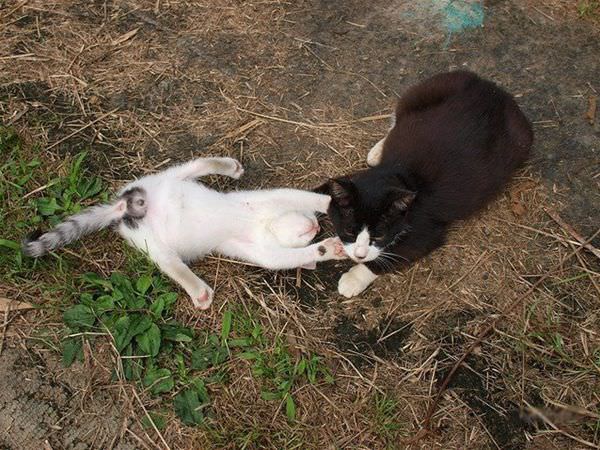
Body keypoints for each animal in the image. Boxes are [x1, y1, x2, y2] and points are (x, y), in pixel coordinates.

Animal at [23, 156, 346, 308]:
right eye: (309, 231)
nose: (315, 226)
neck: (265, 222)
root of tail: (126, 206)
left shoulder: (252, 245)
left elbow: (281, 256)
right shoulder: (262, 205)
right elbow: (296, 199)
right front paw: (330, 215)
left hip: (159, 187)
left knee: (194, 166)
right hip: (151, 236)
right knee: (169, 262)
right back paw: (199, 290)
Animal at [318, 70, 536, 298]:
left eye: (379, 236)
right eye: (350, 231)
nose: (359, 255)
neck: (397, 174)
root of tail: (492, 89)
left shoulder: (426, 230)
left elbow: (394, 255)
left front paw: (353, 278)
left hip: (522, 138)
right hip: (430, 87)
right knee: (399, 115)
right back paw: (378, 151)